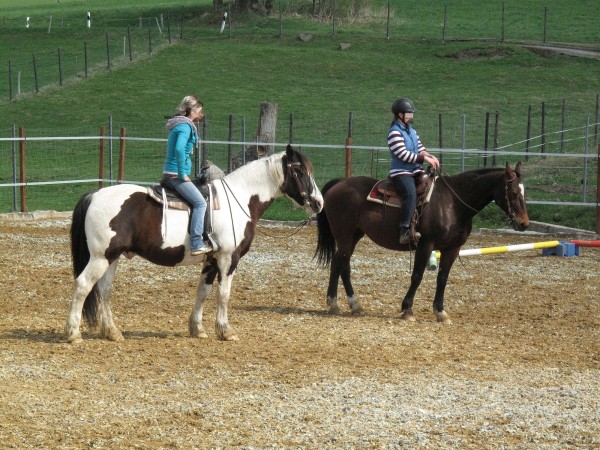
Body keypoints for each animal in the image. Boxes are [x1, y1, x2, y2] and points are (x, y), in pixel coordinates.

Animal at [65, 146, 324, 342]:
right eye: (299, 170)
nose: (318, 203)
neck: (239, 200)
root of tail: (94, 195)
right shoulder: (228, 259)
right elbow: (223, 294)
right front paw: (226, 330)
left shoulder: (211, 260)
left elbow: (203, 292)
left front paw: (197, 328)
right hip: (101, 257)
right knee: (83, 285)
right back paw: (73, 333)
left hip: (112, 257)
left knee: (104, 290)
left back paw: (112, 332)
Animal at [314, 162, 528, 324]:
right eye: (514, 193)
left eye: (524, 193)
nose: (524, 223)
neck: (452, 204)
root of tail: (339, 183)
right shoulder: (426, 245)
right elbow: (417, 276)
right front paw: (407, 310)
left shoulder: (452, 249)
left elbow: (442, 278)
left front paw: (440, 312)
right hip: (344, 234)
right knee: (342, 265)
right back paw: (347, 304)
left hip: (354, 235)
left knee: (338, 263)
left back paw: (341, 304)